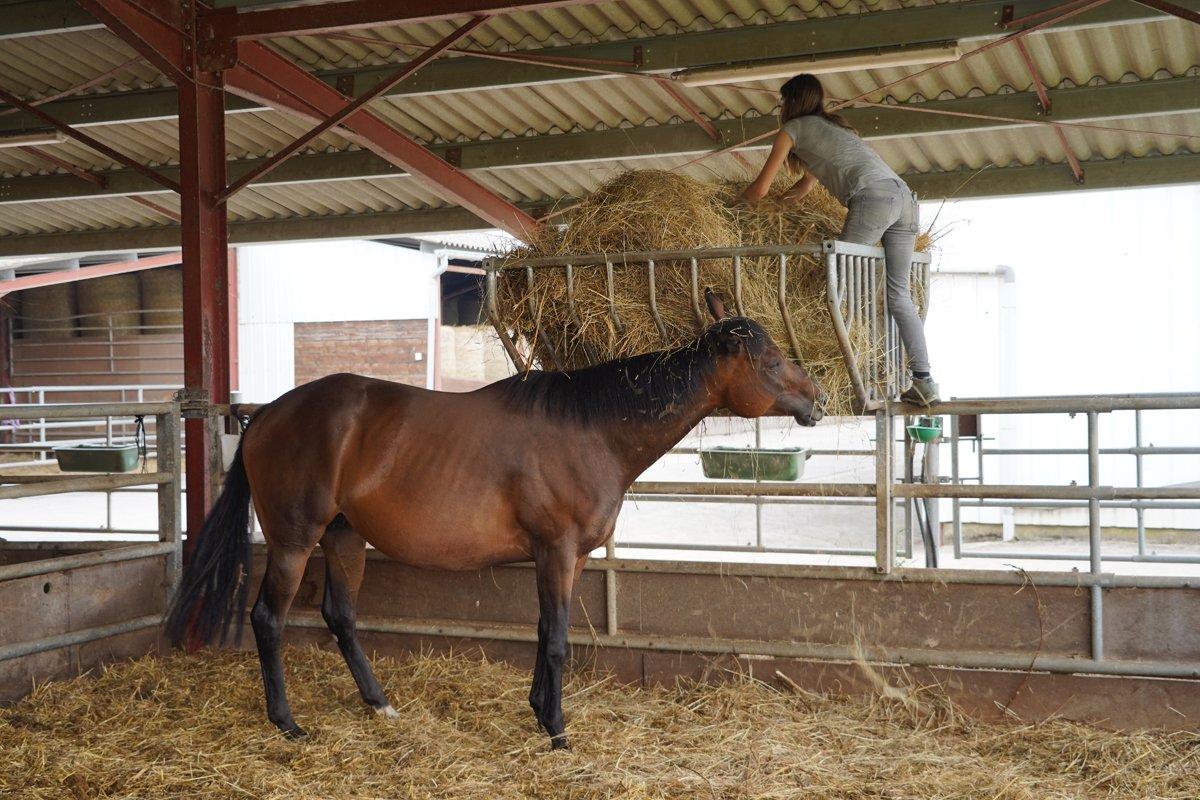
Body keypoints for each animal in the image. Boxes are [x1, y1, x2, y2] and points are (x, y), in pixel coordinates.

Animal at [164, 291, 824, 750]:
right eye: (769, 361)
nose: (816, 399)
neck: (593, 429)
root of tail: (266, 414)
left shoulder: (563, 559)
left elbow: (544, 630)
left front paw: (537, 711)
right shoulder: (555, 550)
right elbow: (556, 641)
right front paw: (557, 730)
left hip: (344, 538)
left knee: (340, 617)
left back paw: (380, 705)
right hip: (294, 541)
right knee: (268, 619)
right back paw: (288, 723)